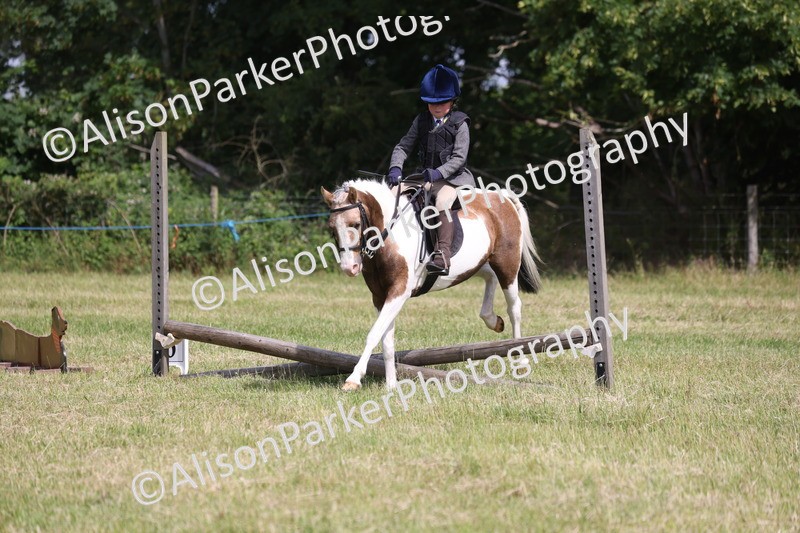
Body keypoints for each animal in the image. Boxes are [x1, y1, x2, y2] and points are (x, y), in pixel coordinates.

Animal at [321, 179, 541, 391]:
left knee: (514, 308)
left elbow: (374, 334)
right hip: (479, 263)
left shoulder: (399, 292)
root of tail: (500, 195)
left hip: (507, 264)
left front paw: (353, 380)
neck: (391, 238)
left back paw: (520, 361)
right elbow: (386, 340)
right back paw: (493, 321)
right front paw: (391, 385)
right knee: (490, 278)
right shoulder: (380, 296)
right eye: (332, 229)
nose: (350, 267)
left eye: (356, 224)